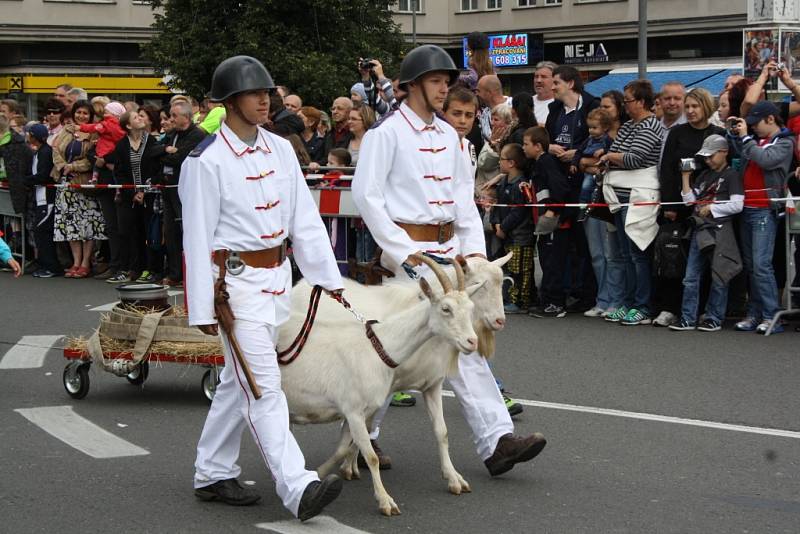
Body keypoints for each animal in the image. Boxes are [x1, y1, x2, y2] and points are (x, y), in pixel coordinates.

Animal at [296, 253, 512, 500]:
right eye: (481, 285)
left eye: (471, 305)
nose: (499, 321)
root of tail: (300, 285)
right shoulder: (384, 384)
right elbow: (365, 426)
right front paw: (352, 463)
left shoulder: (433, 384)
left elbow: (442, 432)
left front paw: (454, 478)